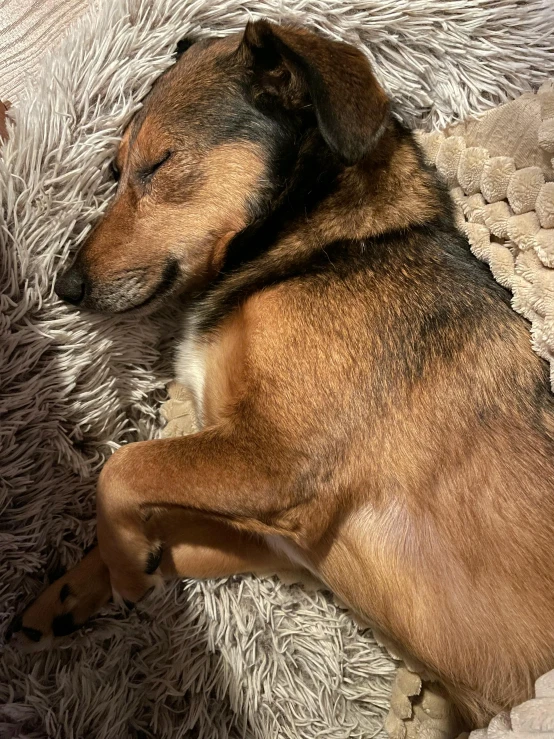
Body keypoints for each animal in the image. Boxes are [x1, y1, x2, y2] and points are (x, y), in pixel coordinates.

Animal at [10, 20, 552, 732]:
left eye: (159, 164)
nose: (65, 288)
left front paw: (127, 567)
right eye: (113, 170)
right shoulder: (277, 538)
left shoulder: (275, 458)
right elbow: (166, 526)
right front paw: (78, 590)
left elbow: (121, 468)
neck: (319, 242)